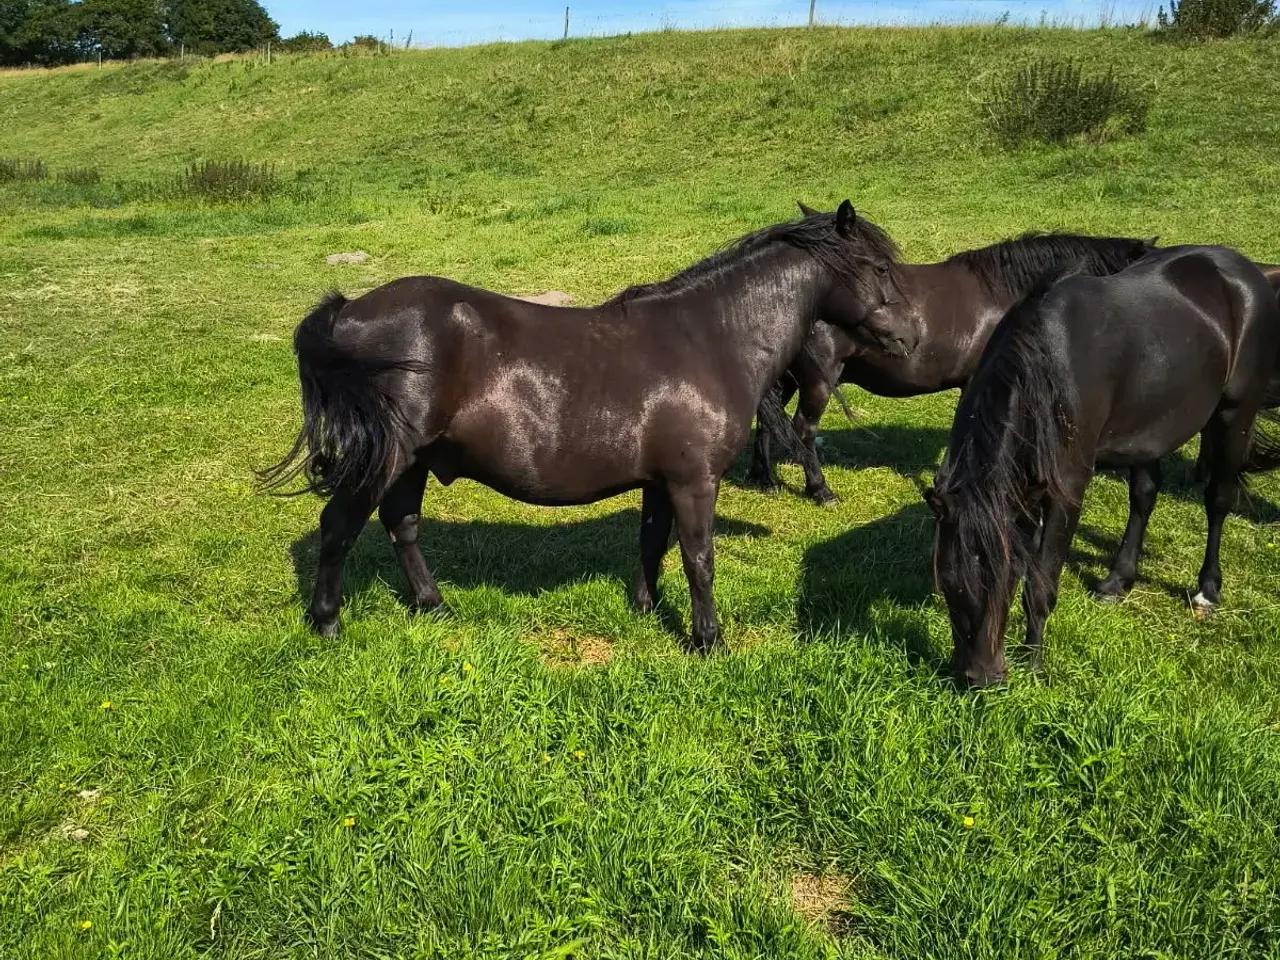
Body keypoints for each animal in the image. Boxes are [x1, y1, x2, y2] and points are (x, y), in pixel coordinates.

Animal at [260, 201, 918, 651]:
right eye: (880, 268)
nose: (913, 335)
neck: (710, 338)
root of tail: (347, 311)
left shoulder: (661, 481)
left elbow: (653, 541)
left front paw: (645, 607)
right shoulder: (694, 481)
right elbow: (699, 557)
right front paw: (708, 639)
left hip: (414, 461)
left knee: (403, 525)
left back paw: (433, 605)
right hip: (386, 459)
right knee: (340, 526)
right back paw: (327, 622)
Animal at [747, 224, 1157, 503]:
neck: (1005, 294)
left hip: (786, 377)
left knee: (767, 422)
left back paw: (764, 479)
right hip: (817, 379)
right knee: (803, 430)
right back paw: (820, 490)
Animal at [925, 246, 1280, 688]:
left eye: (1005, 576)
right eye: (948, 582)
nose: (982, 677)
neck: (1046, 366)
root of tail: (1246, 272)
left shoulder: (1067, 489)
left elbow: (1041, 579)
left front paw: (1034, 662)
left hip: (1234, 416)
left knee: (1218, 499)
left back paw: (1207, 591)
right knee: (1144, 497)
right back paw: (1118, 581)